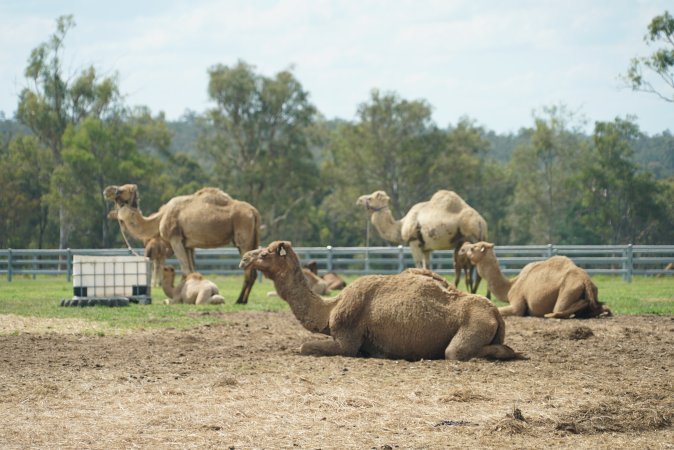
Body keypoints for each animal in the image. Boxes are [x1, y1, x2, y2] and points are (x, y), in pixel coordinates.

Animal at [104, 184, 260, 304]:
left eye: (120, 189)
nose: (106, 190)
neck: (160, 218)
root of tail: (254, 212)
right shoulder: (187, 243)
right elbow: (192, 269)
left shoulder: (175, 238)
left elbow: (185, 269)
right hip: (253, 240)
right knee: (253, 271)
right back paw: (243, 300)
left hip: (243, 238)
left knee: (248, 271)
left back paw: (239, 300)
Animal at [239, 241, 524, 361]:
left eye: (264, 253)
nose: (244, 259)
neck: (330, 309)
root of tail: (495, 313)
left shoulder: (347, 340)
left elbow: (305, 346)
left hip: (472, 327)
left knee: (456, 352)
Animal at [356, 190, 488, 292]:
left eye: (370, 198)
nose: (359, 200)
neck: (401, 225)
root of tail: (481, 222)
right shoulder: (427, 248)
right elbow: (427, 267)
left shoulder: (414, 242)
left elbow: (418, 265)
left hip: (472, 235)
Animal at [464, 242, 611, 319]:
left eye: (473, 248)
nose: (463, 247)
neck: (512, 285)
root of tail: (586, 281)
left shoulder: (518, 302)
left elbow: (504, 310)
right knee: (602, 306)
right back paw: (601, 312)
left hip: (568, 290)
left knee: (560, 309)